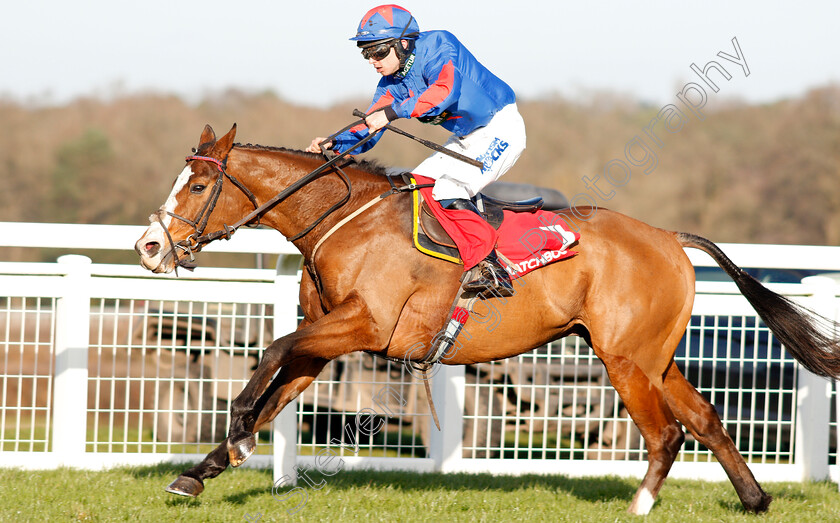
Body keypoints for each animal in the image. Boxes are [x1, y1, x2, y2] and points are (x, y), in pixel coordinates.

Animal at [135, 124, 840, 516]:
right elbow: (280, 381)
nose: (148, 246)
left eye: (197, 187)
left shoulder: (369, 327)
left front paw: (237, 434)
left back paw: (640, 506)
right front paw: (203, 468)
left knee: (666, 433)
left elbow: (273, 351)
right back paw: (755, 499)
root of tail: (669, 237)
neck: (344, 223)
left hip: (624, 359)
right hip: (653, 357)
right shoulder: (329, 338)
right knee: (707, 420)